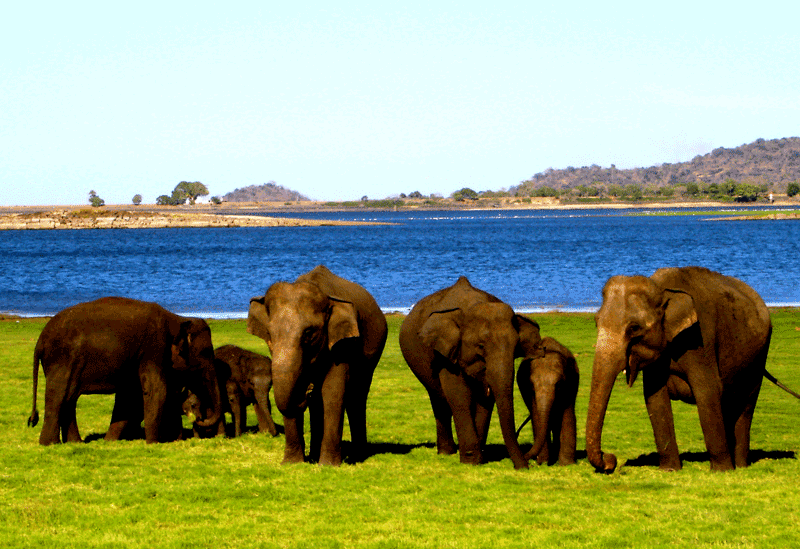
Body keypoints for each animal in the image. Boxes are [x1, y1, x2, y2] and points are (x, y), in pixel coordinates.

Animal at [28, 298, 222, 444]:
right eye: (206, 352)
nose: (198, 418)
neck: (176, 318)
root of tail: (40, 340)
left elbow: (130, 397)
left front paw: (109, 441)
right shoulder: (153, 348)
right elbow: (157, 390)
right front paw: (153, 443)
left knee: (69, 398)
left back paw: (75, 442)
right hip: (63, 359)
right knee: (58, 396)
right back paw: (49, 443)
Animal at [248, 264, 390, 464]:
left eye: (309, 333)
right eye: (269, 333)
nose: (307, 390)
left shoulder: (342, 344)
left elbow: (333, 391)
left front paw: (328, 465)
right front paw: (291, 463)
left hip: (373, 352)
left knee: (357, 395)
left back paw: (358, 456)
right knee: (319, 403)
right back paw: (315, 455)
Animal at [400, 276, 544, 468]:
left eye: (516, 348)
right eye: (480, 346)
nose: (524, 467)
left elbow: (485, 400)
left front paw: (479, 458)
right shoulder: (445, 353)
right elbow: (459, 395)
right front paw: (470, 461)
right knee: (438, 399)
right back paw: (446, 452)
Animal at [516, 336, 580, 464]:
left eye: (559, 384)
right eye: (532, 385)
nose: (525, 457)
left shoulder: (571, 382)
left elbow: (567, 415)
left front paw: (567, 464)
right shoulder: (528, 391)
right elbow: (537, 417)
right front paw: (543, 463)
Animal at [584, 266, 772, 470]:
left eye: (634, 328)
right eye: (596, 321)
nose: (610, 459)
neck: (661, 288)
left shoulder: (699, 340)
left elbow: (708, 392)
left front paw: (722, 471)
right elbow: (655, 398)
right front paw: (669, 469)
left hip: (759, 357)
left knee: (747, 404)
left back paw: (740, 465)